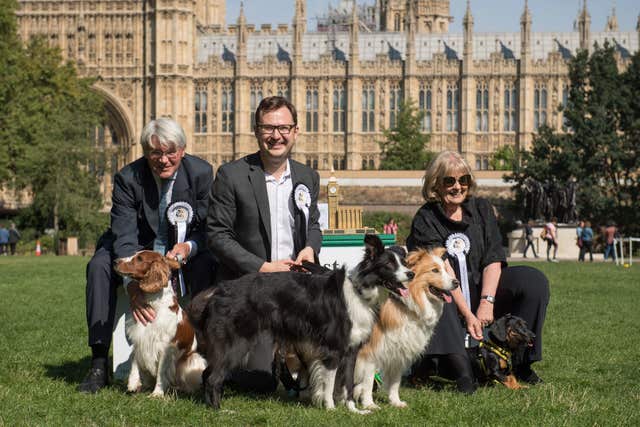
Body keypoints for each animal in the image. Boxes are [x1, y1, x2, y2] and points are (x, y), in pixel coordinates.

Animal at [113, 251, 205, 398]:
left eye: (140, 258)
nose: (115, 261)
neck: (154, 303)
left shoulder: (165, 348)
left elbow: (161, 372)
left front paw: (157, 393)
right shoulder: (140, 338)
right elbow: (134, 362)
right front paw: (133, 384)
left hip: (193, 360)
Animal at [188, 236, 412, 412]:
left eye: (404, 262)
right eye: (389, 265)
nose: (411, 274)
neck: (359, 291)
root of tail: (218, 291)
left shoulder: (351, 350)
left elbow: (347, 383)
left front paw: (353, 410)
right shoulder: (333, 349)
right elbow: (330, 382)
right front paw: (330, 408)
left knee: (208, 373)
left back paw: (210, 407)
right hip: (235, 344)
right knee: (214, 377)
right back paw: (220, 411)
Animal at [352, 249, 458, 410]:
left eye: (446, 269)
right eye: (434, 270)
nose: (456, 282)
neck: (405, 304)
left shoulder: (399, 350)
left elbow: (395, 382)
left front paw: (395, 402)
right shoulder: (369, 351)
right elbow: (368, 381)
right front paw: (369, 404)